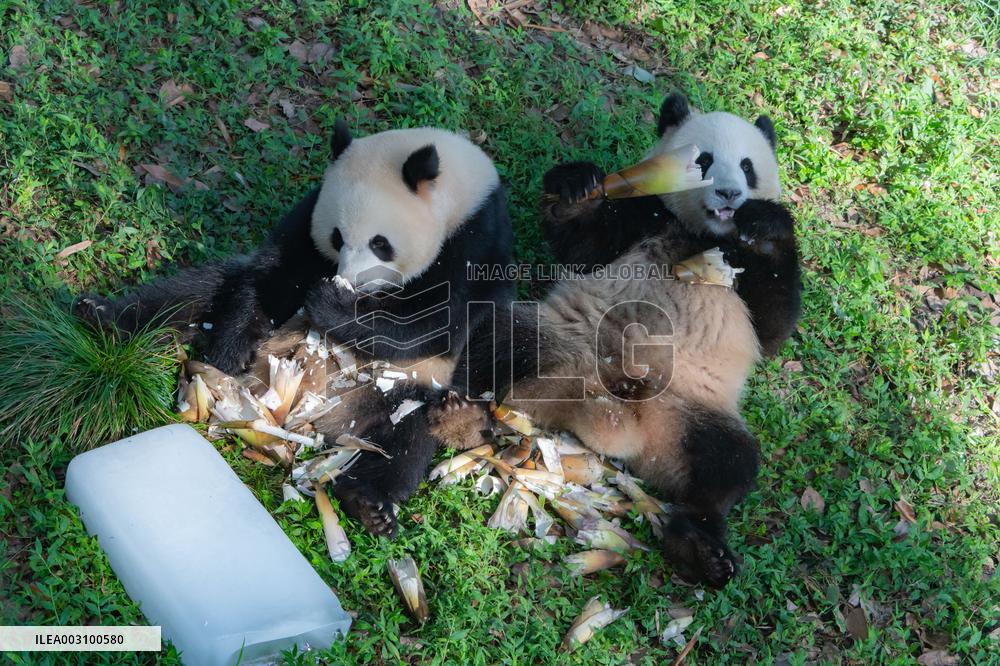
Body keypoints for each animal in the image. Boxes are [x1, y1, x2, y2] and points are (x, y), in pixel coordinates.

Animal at [76, 120, 513, 536]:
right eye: (337, 237)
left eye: (380, 243)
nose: (349, 280)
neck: (456, 184)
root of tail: (315, 417)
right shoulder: (311, 212)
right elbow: (277, 272)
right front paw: (229, 352)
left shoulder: (477, 241)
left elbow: (433, 320)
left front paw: (332, 305)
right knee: (197, 292)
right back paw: (102, 316)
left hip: (405, 388)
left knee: (409, 437)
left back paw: (370, 504)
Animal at [456, 93, 801, 587]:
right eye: (704, 159)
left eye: (748, 166)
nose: (730, 195)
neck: (701, 238)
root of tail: (612, 416)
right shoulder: (646, 221)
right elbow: (582, 245)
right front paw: (578, 185)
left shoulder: (742, 280)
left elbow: (773, 326)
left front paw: (764, 224)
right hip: (564, 337)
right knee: (498, 339)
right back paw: (457, 415)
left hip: (687, 409)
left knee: (726, 466)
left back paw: (703, 550)